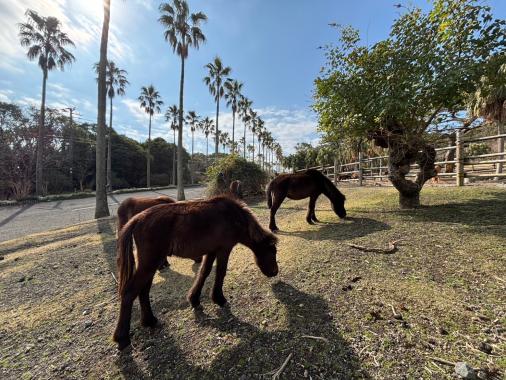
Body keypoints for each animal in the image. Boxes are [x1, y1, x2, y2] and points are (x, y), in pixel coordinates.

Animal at [112, 196, 278, 350]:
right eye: (272, 251)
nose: (275, 272)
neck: (232, 216)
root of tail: (137, 219)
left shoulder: (212, 251)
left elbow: (204, 272)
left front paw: (194, 299)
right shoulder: (224, 249)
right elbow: (220, 272)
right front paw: (219, 298)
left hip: (151, 264)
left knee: (143, 291)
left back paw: (149, 320)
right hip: (150, 263)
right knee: (130, 292)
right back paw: (122, 338)